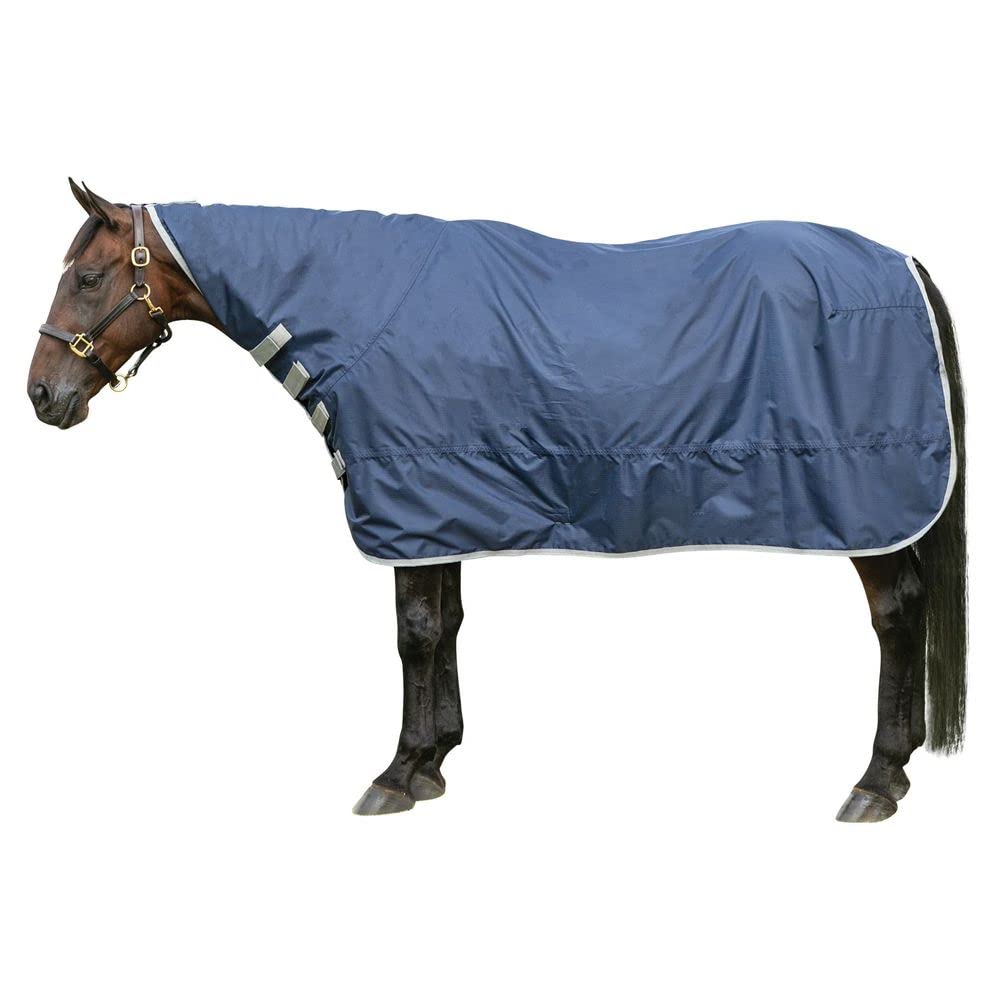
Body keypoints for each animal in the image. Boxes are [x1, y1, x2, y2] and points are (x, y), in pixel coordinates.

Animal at [27, 180, 967, 821]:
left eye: (89, 277)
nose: (42, 396)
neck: (354, 310)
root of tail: (902, 264)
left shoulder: (409, 501)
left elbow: (412, 634)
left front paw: (394, 775)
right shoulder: (438, 506)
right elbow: (443, 627)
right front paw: (434, 761)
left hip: (869, 505)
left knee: (897, 616)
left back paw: (875, 781)